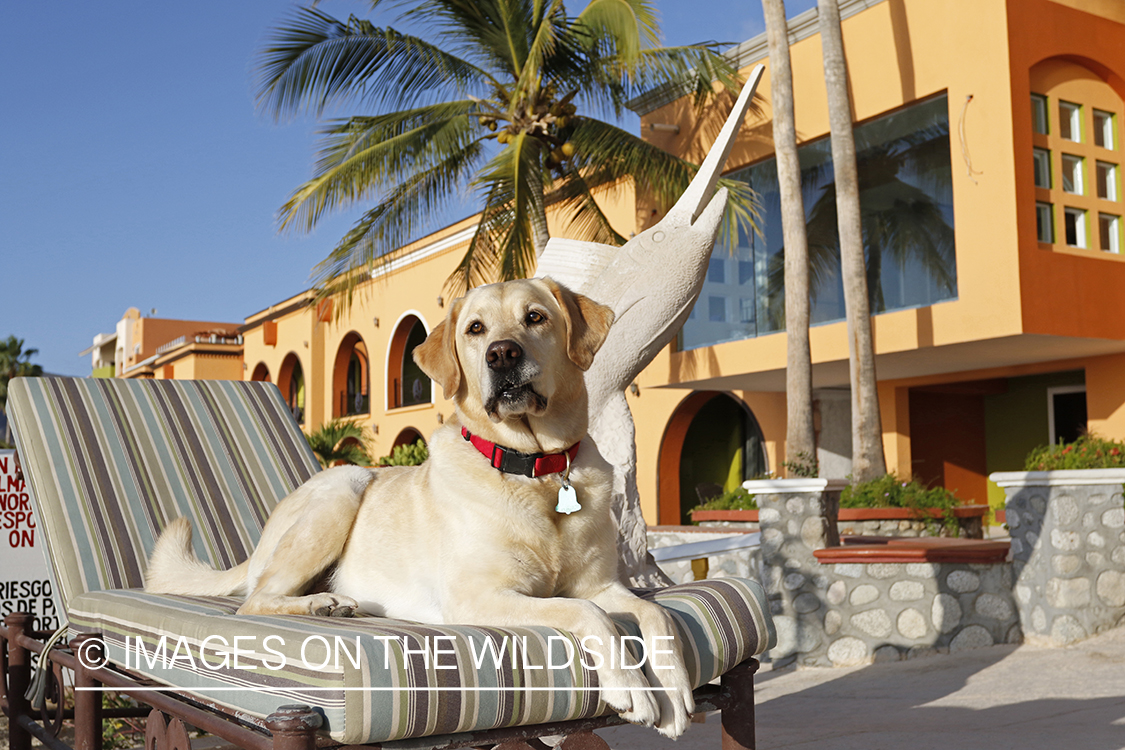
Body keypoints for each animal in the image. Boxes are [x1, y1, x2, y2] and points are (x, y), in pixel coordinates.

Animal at [147, 277, 693, 737]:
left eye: (535, 317)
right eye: (476, 329)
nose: (502, 354)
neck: (536, 469)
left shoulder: (602, 584)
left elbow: (654, 613)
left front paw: (675, 690)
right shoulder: (480, 597)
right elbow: (586, 613)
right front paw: (632, 688)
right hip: (343, 486)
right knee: (255, 599)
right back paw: (321, 603)